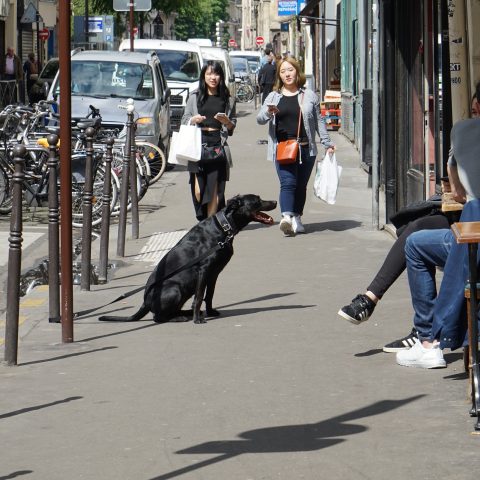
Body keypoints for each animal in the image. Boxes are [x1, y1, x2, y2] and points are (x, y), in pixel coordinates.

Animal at [98, 194, 274, 322]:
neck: (224, 228)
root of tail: (145, 303)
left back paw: (187, 313)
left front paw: (210, 312)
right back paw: (182, 317)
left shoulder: (214, 273)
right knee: (158, 318)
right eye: (257, 200)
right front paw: (198, 320)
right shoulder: (204, 270)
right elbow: (199, 296)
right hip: (175, 289)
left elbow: (209, 296)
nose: (275, 201)